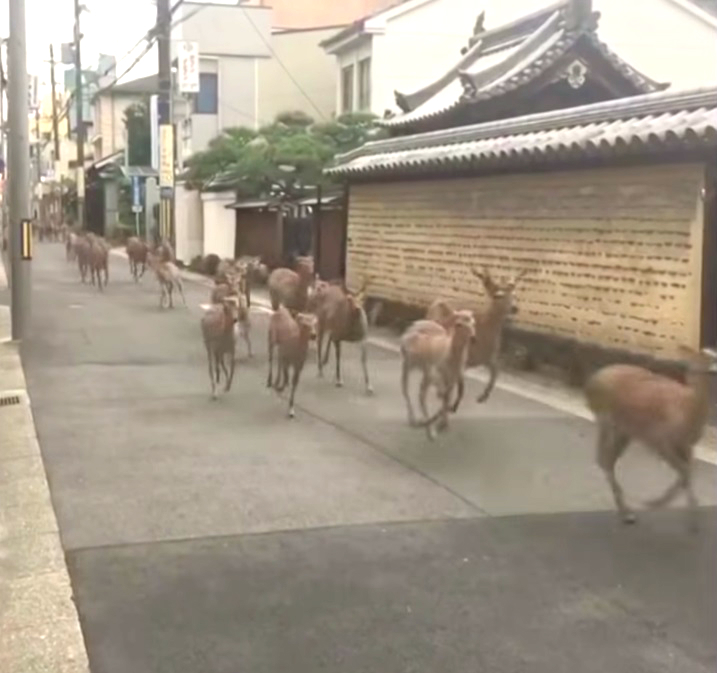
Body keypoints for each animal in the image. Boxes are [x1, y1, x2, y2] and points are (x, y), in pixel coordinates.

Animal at [402, 312, 476, 440]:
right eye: (458, 324)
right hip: (408, 366)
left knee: (421, 396)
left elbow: (447, 399)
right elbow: (443, 396)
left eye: (473, 322)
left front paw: (443, 424)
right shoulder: (435, 373)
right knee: (407, 391)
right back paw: (418, 423)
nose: (473, 338)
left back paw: (426, 426)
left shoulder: (452, 379)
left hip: (424, 373)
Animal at [584, 346, 712, 532]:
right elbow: (684, 472)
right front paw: (654, 503)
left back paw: (627, 512)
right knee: (604, 459)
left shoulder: (686, 446)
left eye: (711, 359)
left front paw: (694, 521)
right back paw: (627, 513)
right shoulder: (660, 441)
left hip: (626, 431)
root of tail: (591, 381)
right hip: (607, 421)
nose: (704, 373)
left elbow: (687, 473)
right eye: (692, 362)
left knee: (607, 460)